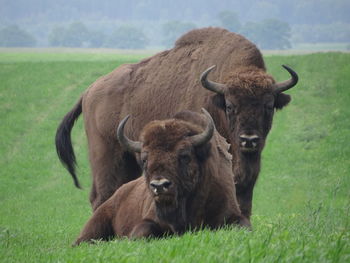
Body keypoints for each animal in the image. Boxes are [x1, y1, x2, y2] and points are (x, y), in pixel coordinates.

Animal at [55, 26, 298, 219]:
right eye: (230, 106)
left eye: (269, 105)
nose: (249, 140)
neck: (216, 97)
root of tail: (89, 91)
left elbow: (244, 197)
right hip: (106, 156)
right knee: (102, 195)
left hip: (130, 159)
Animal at [74, 110, 249, 246]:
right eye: (145, 159)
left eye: (184, 155)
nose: (159, 185)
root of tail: (118, 194)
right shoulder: (148, 220)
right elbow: (143, 231)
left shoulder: (232, 214)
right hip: (96, 222)